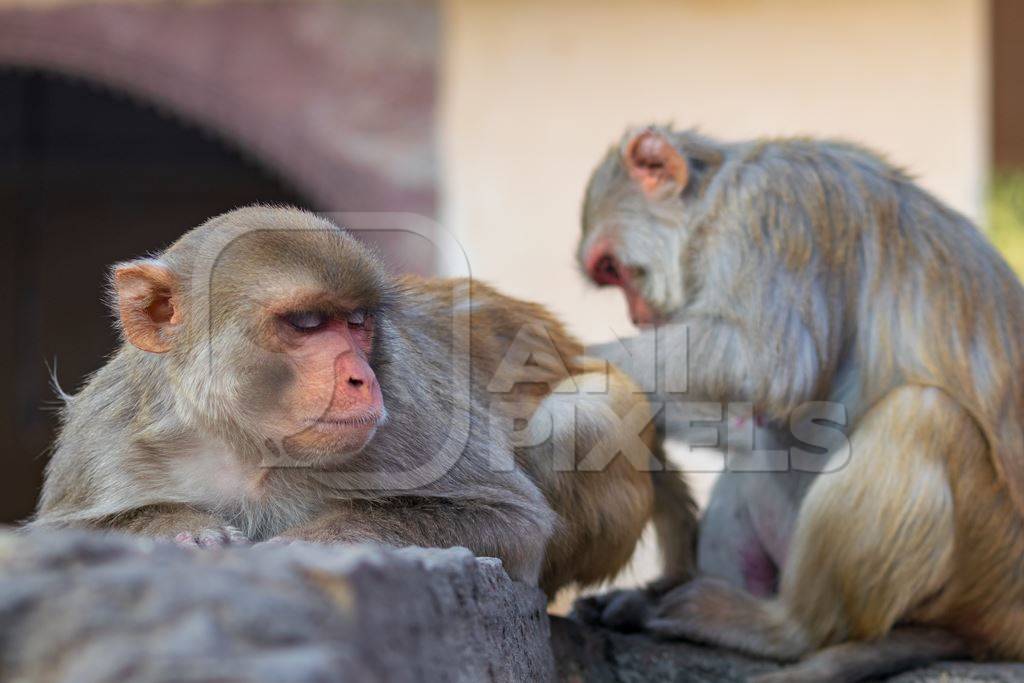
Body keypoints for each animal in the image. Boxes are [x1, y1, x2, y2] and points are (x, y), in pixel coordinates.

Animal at [32, 206, 692, 598]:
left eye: (357, 323)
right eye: (305, 324)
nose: (359, 379)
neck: (250, 445)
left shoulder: (412, 416)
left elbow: (513, 519)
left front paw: (318, 541)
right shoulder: (105, 433)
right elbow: (63, 533)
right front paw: (181, 530)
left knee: (584, 412)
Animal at [573, 126, 1024, 679]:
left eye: (612, 268)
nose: (638, 318)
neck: (714, 199)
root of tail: (1004, 626)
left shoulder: (771, 209)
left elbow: (770, 362)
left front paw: (554, 358)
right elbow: (748, 415)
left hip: (983, 565)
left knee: (921, 414)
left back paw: (784, 629)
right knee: (757, 452)